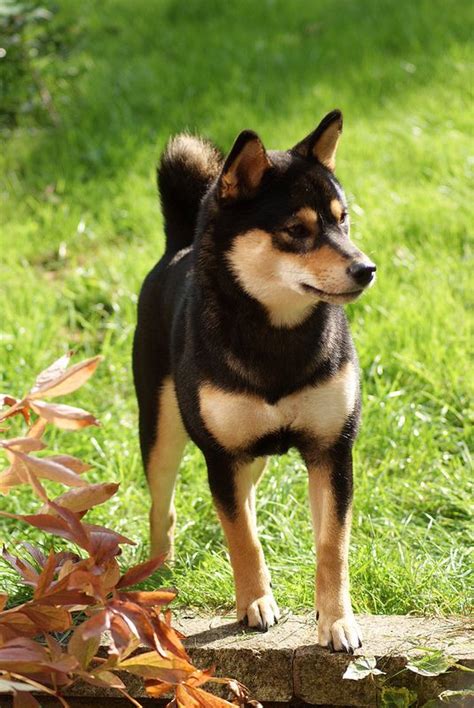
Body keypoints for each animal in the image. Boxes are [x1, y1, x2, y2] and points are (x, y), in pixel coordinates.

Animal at [131, 110, 376, 652]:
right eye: (295, 230)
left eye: (342, 218)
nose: (366, 268)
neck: (278, 334)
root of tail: (177, 246)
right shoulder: (222, 455)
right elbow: (241, 539)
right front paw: (255, 604)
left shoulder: (332, 451)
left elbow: (332, 547)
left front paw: (337, 622)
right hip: (162, 431)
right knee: (165, 507)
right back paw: (157, 569)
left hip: (254, 451)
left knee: (246, 501)